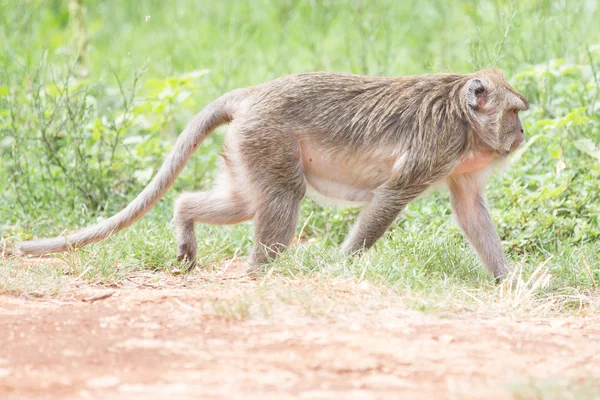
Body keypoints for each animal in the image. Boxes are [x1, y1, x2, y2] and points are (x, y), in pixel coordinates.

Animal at [12, 68, 528, 282]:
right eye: (515, 112)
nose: (523, 133)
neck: (462, 116)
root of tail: (251, 94)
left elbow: (469, 209)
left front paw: (508, 282)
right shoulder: (437, 145)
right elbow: (391, 196)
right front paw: (341, 265)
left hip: (247, 145)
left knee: (244, 202)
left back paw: (185, 217)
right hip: (267, 136)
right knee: (284, 195)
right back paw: (263, 271)